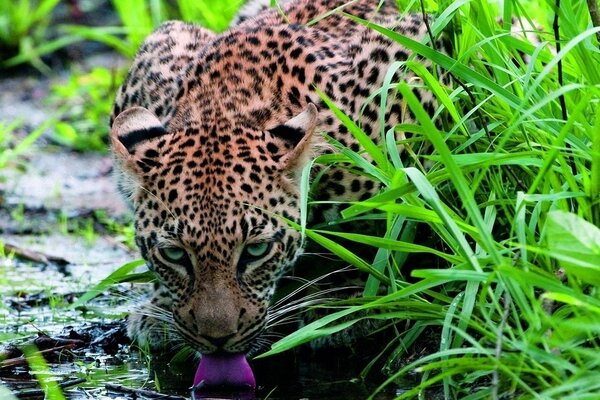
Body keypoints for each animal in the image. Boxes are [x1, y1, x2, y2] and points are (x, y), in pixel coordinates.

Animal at [109, 0, 436, 358]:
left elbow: (375, 236)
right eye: (174, 254)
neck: (224, 106)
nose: (217, 340)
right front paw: (160, 309)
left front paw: (344, 302)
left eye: (256, 251)